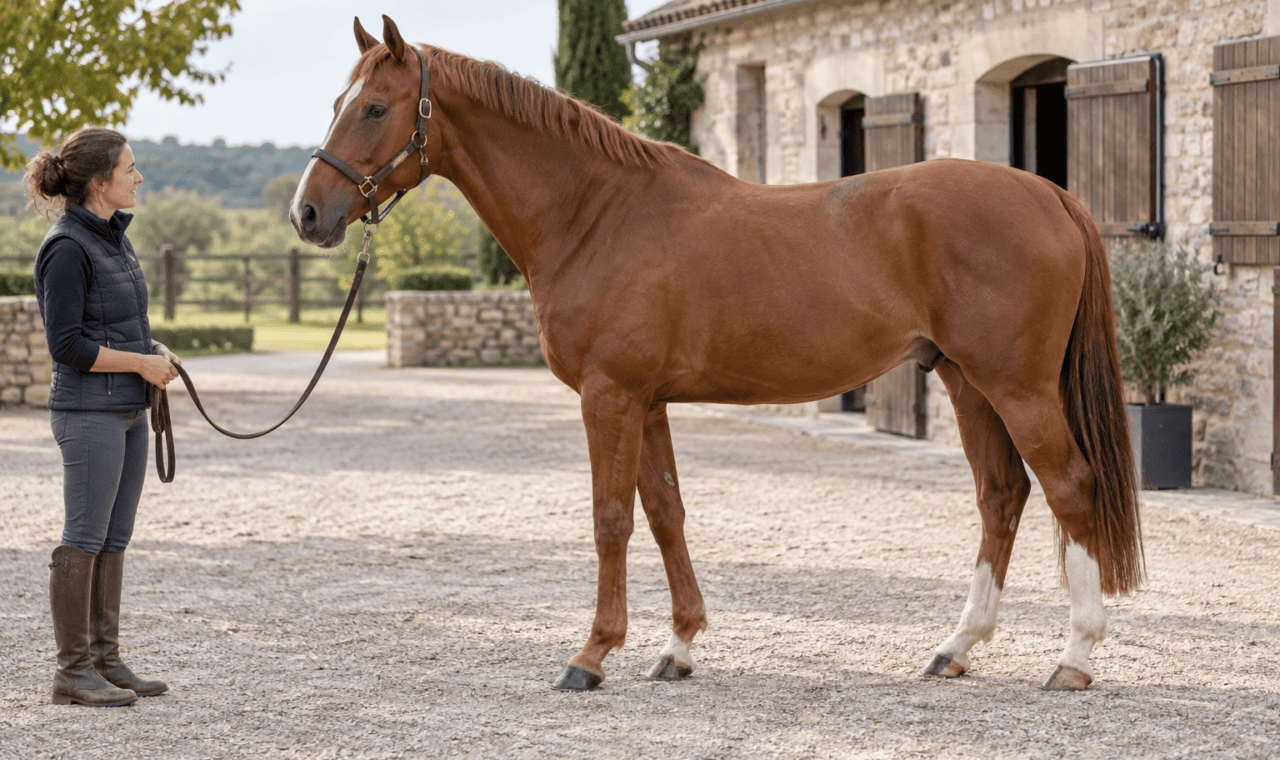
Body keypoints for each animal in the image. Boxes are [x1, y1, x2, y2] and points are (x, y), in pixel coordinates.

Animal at [290, 15, 1143, 692]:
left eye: (374, 107)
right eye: (336, 104)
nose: (308, 214)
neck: (596, 212)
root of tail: (1050, 193)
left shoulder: (609, 396)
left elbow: (611, 520)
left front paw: (590, 656)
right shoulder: (648, 401)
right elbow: (667, 514)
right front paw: (678, 648)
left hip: (1017, 386)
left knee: (1070, 487)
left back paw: (1073, 657)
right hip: (967, 383)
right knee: (1003, 496)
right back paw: (955, 648)